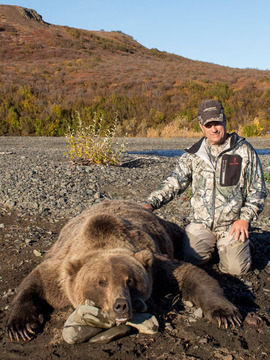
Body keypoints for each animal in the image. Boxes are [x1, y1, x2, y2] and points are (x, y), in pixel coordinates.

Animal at [7, 198, 242, 342]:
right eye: (101, 282)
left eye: (130, 281)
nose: (120, 305)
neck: (104, 240)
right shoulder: (61, 274)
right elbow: (35, 282)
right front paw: (20, 326)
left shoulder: (155, 268)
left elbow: (190, 275)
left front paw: (226, 314)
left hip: (170, 232)